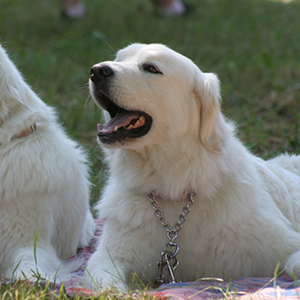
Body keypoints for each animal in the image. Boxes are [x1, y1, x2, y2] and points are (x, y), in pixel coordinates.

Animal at [85, 43, 300, 290]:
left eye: (151, 68)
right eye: (119, 59)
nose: (97, 70)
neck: (176, 189)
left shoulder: (284, 242)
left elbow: (294, 261)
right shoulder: (107, 258)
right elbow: (109, 286)